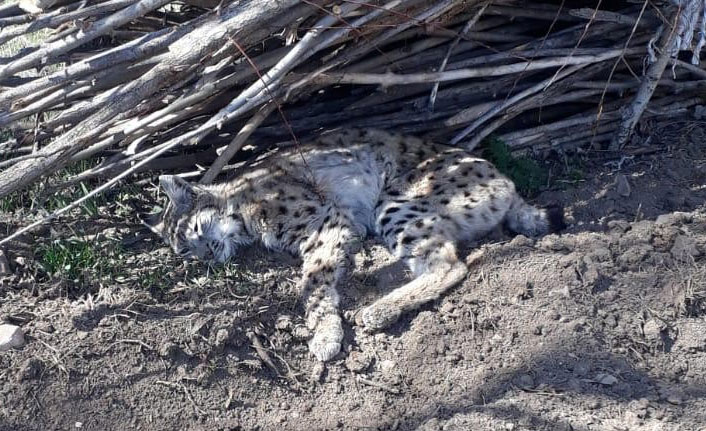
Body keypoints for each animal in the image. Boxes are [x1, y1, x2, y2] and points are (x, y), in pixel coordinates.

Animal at [146, 128, 564, 362]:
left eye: (193, 231)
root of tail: (505, 179)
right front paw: (327, 329)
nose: (206, 256)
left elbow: (313, 284)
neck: (238, 207)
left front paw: (325, 333)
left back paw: (378, 311)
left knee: (450, 264)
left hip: (396, 200)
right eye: (184, 252)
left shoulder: (328, 220)